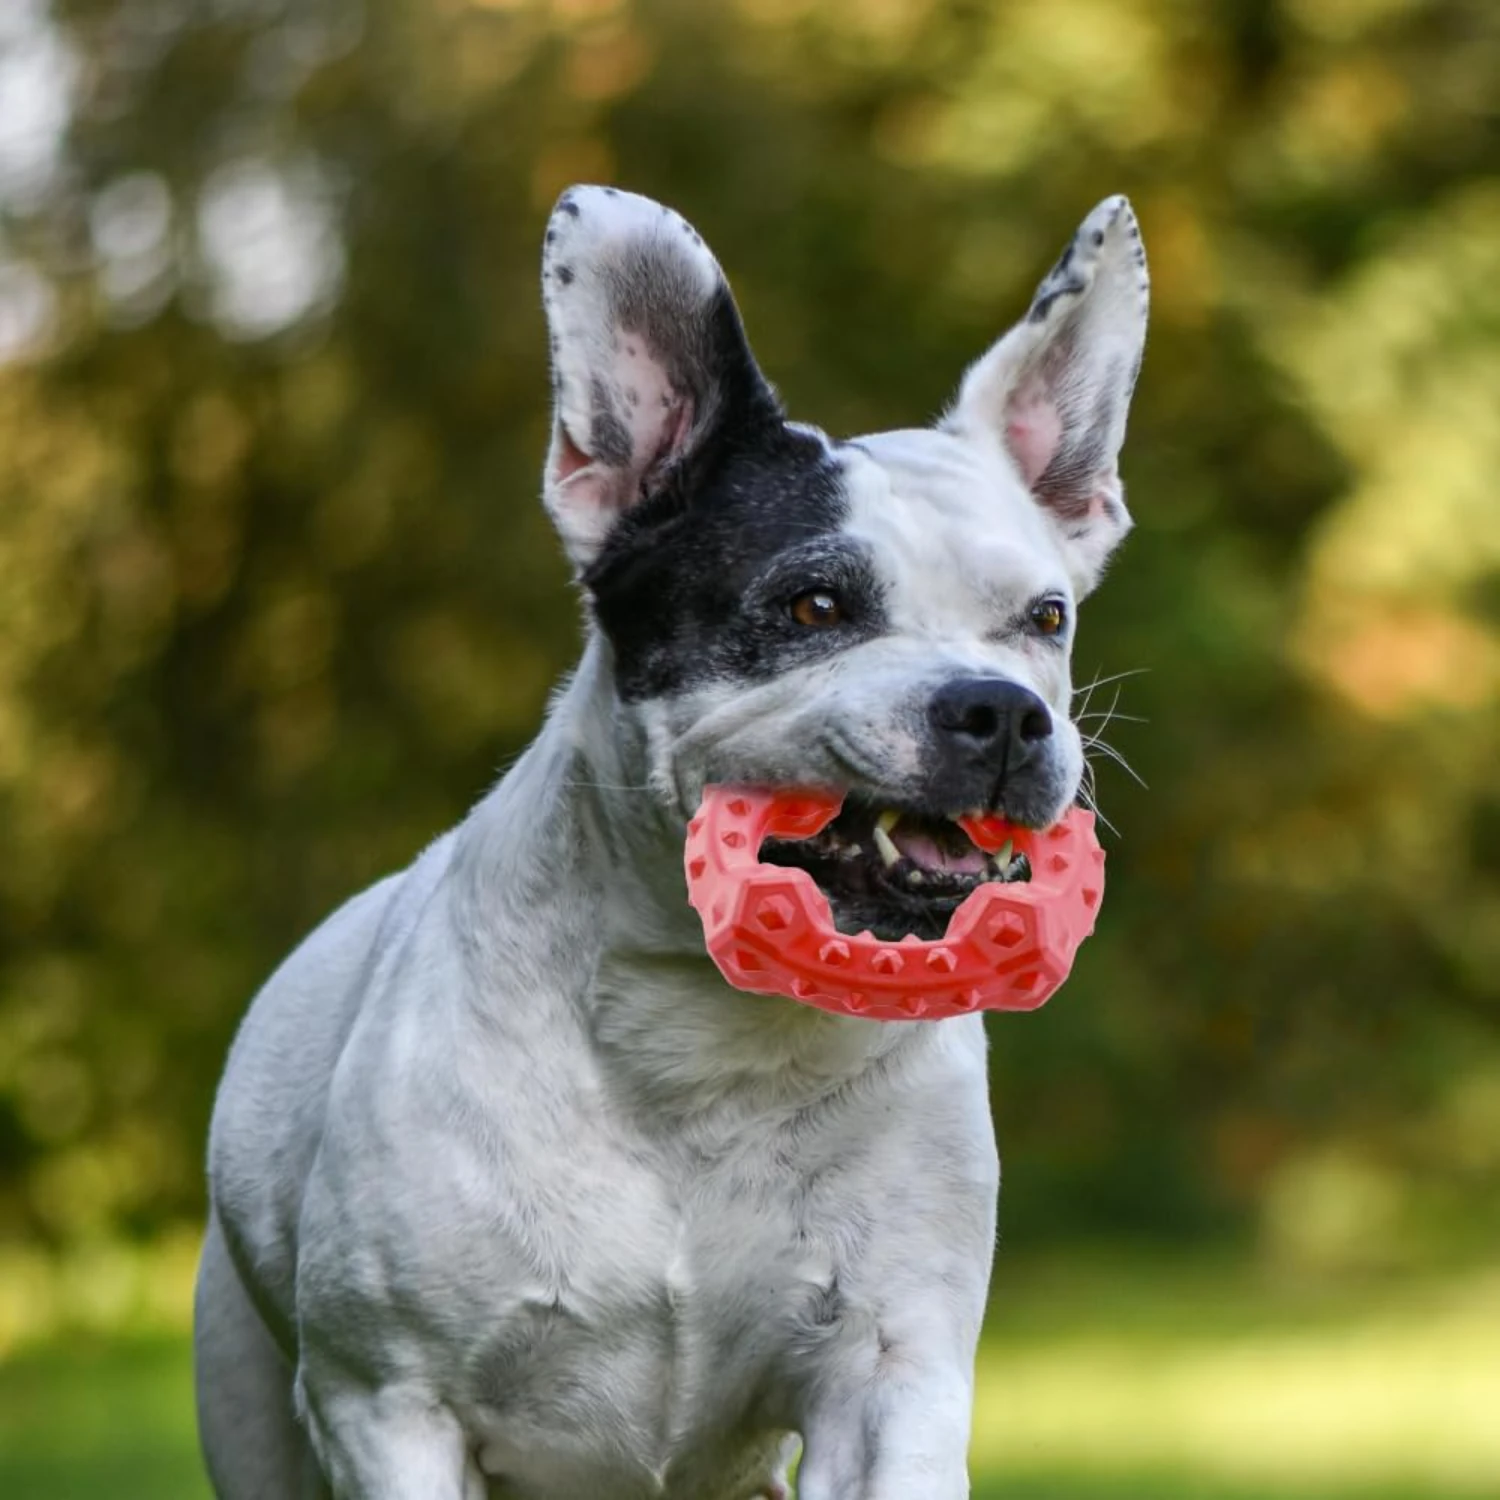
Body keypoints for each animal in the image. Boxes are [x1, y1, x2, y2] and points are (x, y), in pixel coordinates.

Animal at [190, 184, 1146, 1500]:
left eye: (1045, 619)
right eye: (812, 606)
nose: (1002, 710)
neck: (705, 1039)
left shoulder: (889, 1382)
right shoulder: (389, 1407)